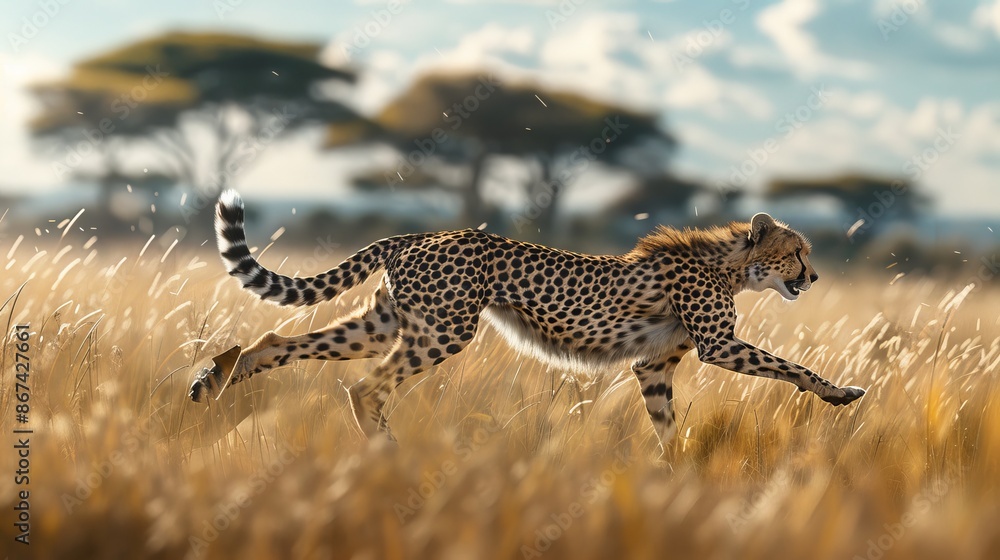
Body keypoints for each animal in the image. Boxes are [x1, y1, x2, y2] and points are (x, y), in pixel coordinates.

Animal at [190, 190, 866, 448]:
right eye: (798, 251)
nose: (812, 277)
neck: (729, 263)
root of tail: (423, 233)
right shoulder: (719, 346)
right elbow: (793, 367)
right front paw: (840, 393)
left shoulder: (652, 367)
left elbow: (666, 426)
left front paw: (676, 480)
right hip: (442, 331)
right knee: (366, 387)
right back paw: (386, 452)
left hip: (385, 324)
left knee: (276, 338)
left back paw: (215, 378)